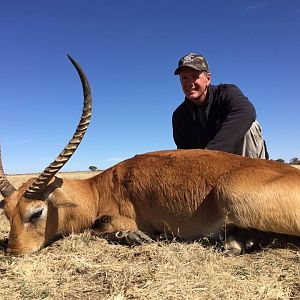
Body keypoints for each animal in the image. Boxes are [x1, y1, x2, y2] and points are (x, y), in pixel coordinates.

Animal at [0, 56, 300, 255]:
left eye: (36, 212)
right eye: (7, 213)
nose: (15, 253)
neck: (97, 189)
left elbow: (101, 226)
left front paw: (134, 236)